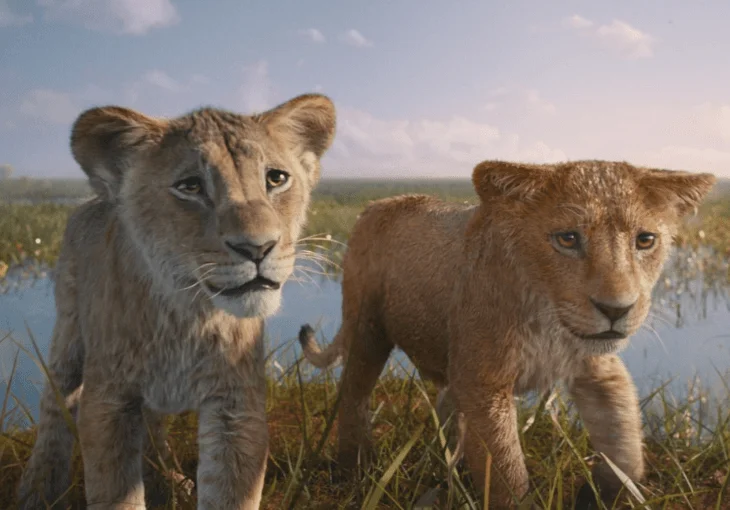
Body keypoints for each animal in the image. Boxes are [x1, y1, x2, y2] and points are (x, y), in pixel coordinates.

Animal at [16, 93, 336, 510]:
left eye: (276, 178)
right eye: (191, 186)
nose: (258, 248)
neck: (188, 315)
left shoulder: (236, 407)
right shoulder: (109, 402)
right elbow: (114, 492)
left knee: (152, 424)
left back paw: (166, 479)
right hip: (68, 331)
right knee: (56, 405)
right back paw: (37, 490)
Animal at [298, 160, 715, 508]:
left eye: (645, 240)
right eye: (567, 239)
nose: (616, 310)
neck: (548, 319)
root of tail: (376, 204)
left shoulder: (598, 370)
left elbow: (625, 442)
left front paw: (606, 494)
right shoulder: (484, 382)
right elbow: (506, 470)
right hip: (367, 327)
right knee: (354, 393)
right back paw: (355, 469)